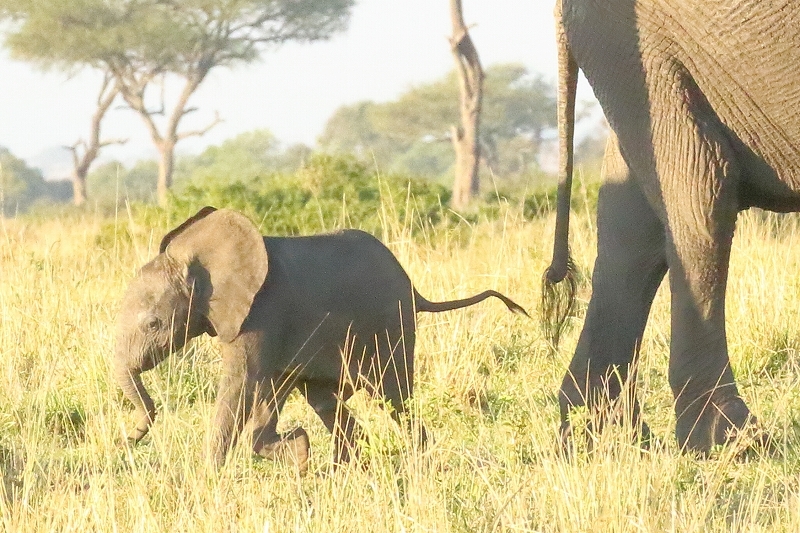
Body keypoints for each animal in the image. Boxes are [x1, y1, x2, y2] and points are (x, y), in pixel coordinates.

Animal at [112, 206, 524, 468]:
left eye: (153, 324)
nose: (129, 437)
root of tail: (415, 289)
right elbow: (270, 391)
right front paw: (298, 452)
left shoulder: (261, 313)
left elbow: (241, 385)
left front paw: (208, 478)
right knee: (326, 402)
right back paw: (348, 471)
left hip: (389, 327)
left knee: (394, 398)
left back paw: (418, 462)